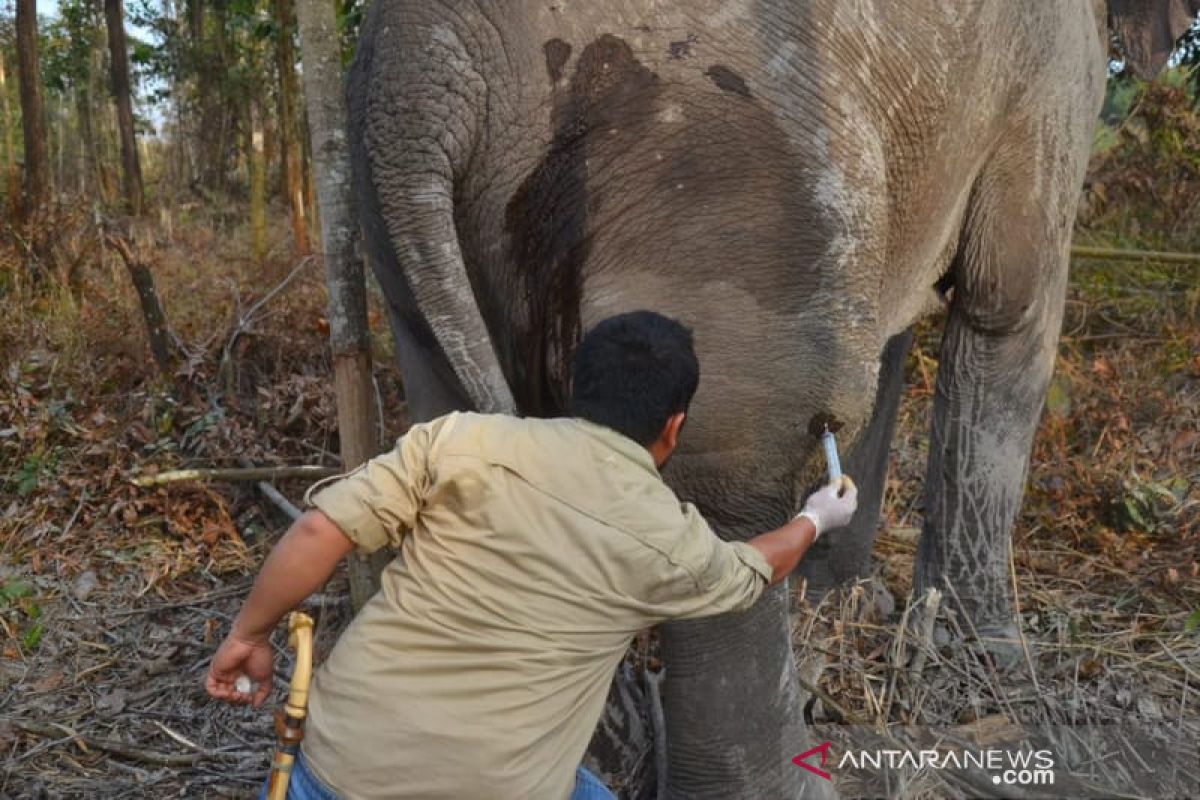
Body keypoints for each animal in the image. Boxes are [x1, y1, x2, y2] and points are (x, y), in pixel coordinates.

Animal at [343, 1, 1195, 800]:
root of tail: (419, 71)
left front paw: (845, 598)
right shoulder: (1048, 76)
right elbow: (1008, 311)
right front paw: (992, 665)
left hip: (427, 242)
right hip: (718, 175)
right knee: (742, 465)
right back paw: (796, 780)